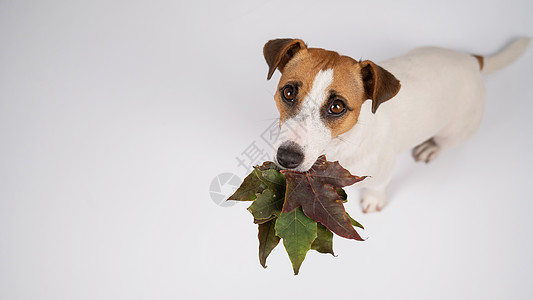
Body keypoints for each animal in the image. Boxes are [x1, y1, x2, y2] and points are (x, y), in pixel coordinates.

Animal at [264, 37, 528, 213]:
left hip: (457, 130)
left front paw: (374, 198)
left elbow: (379, 184)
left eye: (337, 107)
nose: (287, 158)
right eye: (288, 92)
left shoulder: (383, 168)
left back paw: (430, 147)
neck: (340, 144)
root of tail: (472, 61)